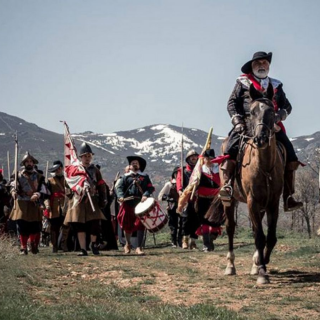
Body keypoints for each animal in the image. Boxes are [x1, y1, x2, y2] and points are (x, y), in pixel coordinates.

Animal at [220, 83, 284, 284]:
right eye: (253, 112)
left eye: (271, 111)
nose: (260, 139)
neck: (264, 166)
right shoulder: (252, 201)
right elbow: (259, 237)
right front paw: (262, 272)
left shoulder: (272, 203)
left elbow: (270, 237)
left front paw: (261, 263)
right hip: (230, 200)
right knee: (230, 228)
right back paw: (230, 266)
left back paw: (255, 263)